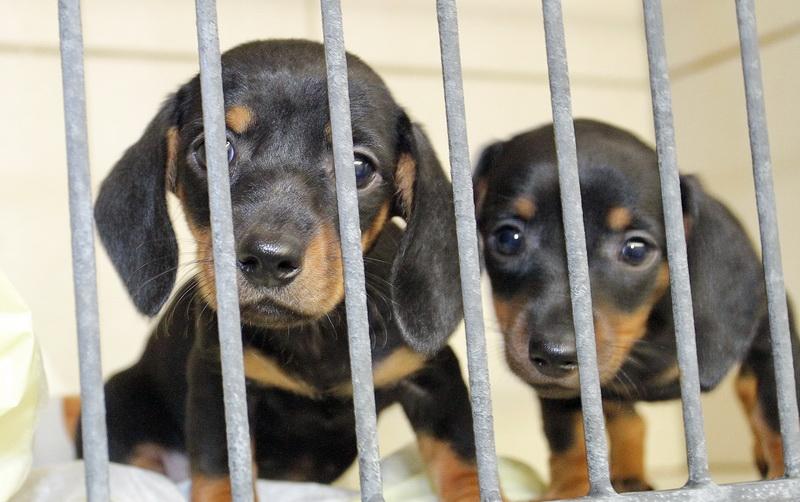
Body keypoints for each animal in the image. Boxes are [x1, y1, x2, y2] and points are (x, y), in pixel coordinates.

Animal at [85, 40, 482, 502]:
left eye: (358, 167)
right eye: (212, 151)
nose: (268, 260)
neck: (314, 335)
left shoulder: (433, 377)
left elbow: (463, 459)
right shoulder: (218, 380)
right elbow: (221, 470)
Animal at [476, 119, 800, 500]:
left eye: (636, 250)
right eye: (507, 238)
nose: (555, 355)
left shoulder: (768, 337)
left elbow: (773, 409)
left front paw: (782, 474)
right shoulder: (559, 391)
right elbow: (570, 432)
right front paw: (570, 486)